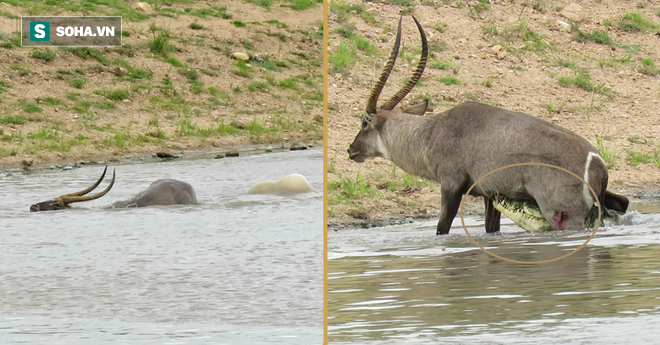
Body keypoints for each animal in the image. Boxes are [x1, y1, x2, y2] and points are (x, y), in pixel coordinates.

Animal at [346, 14, 628, 232]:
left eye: (364, 122)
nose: (351, 149)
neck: (430, 133)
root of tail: (596, 162)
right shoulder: (490, 196)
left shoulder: (451, 186)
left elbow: (442, 228)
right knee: (621, 205)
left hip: (562, 214)